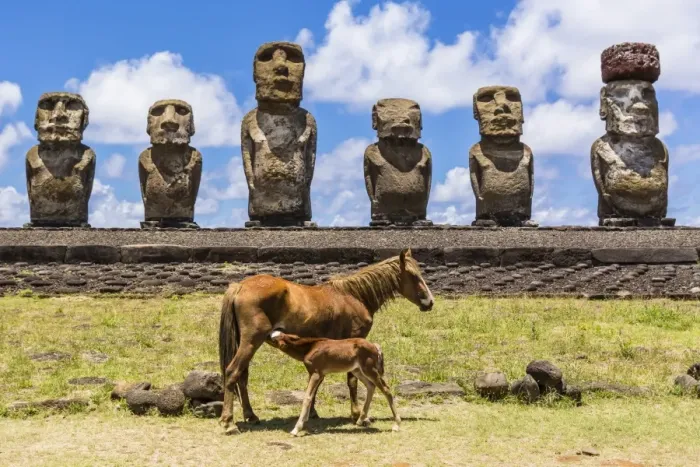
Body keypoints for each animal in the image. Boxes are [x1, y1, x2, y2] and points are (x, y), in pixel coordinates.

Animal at [268, 330, 400, 436]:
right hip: (358, 370)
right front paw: (304, 422)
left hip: (369, 369)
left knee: (386, 389)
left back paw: (396, 424)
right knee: (371, 386)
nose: (268, 333)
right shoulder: (316, 374)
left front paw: (296, 429)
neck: (309, 347)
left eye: (273, 339)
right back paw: (360, 420)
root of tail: (375, 346)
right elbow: (311, 396)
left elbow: (307, 397)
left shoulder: (316, 373)